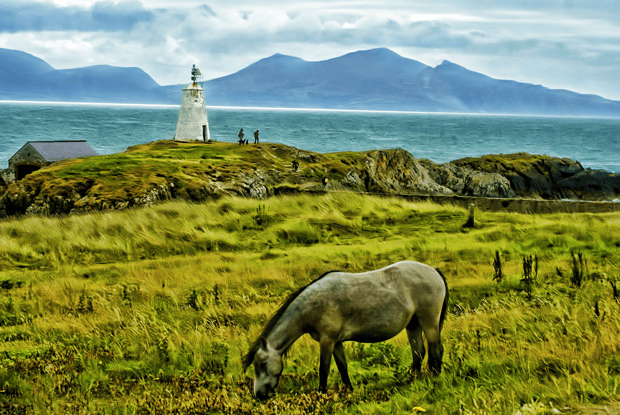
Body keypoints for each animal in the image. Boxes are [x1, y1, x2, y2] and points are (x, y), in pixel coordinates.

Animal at [240, 262, 448, 402]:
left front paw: (321, 395)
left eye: (262, 364)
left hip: (429, 321)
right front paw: (349, 390)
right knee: (418, 352)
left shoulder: (327, 341)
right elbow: (342, 366)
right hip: (413, 325)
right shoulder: (336, 342)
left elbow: (323, 369)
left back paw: (435, 378)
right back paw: (410, 381)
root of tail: (434, 271)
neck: (313, 305)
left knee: (436, 349)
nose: (258, 395)